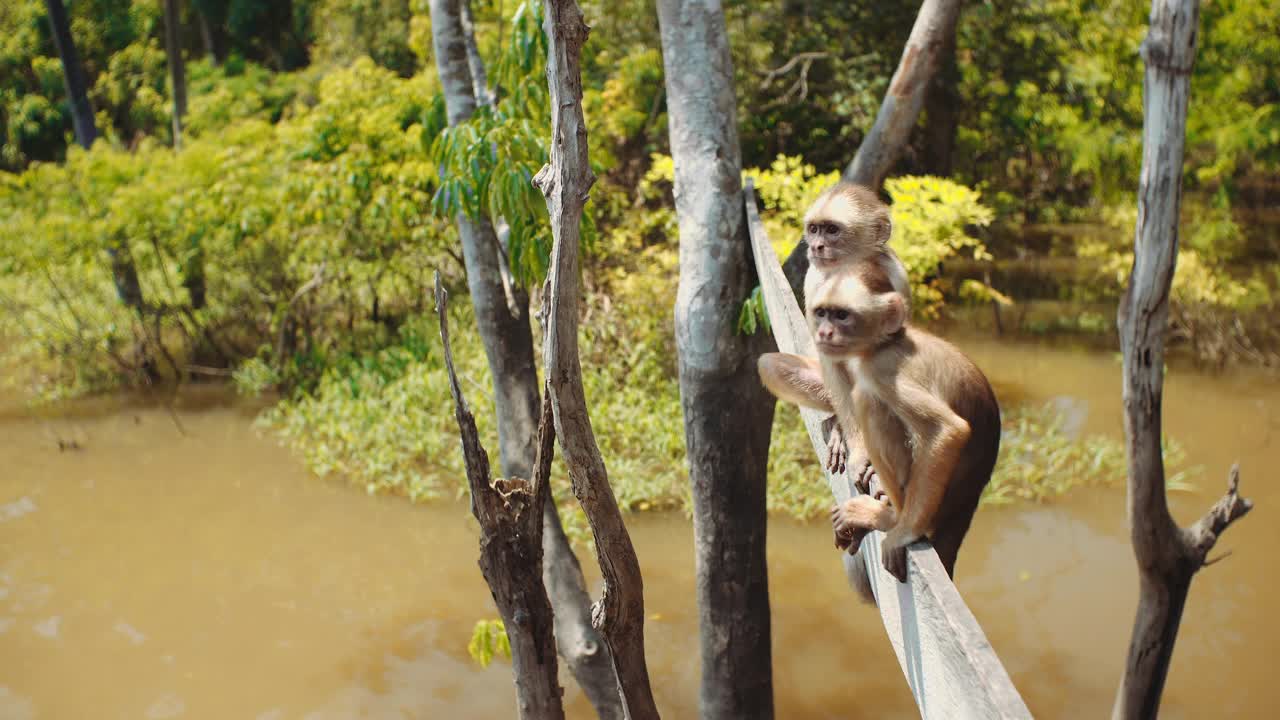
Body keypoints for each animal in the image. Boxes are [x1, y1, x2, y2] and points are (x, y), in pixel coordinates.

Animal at [757, 266, 998, 597]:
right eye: (822, 314)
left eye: (842, 316)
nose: (825, 332)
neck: (884, 343)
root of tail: (970, 498)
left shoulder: (882, 367)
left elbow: (948, 430)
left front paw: (902, 531)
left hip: (941, 499)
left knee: (869, 400)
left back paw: (889, 516)